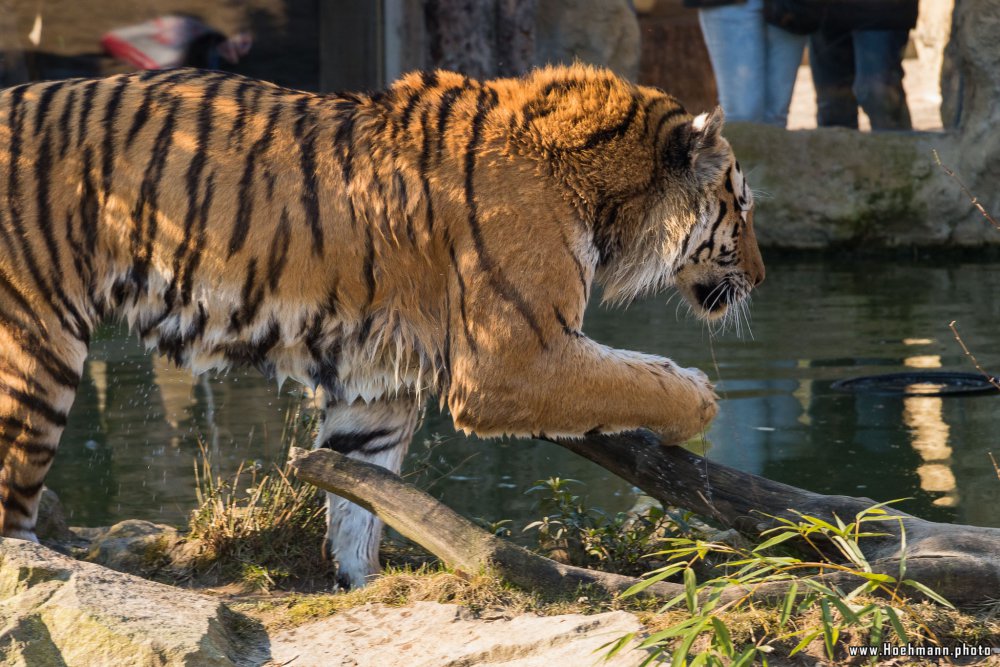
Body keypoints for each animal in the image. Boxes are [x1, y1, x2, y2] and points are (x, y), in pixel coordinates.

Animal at [0, 64, 764, 588]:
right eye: (743, 205)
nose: (759, 277)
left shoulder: (376, 381)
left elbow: (360, 497)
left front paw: (358, 583)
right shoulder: (514, 358)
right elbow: (637, 377)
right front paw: (702, 401)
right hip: (35, 350)